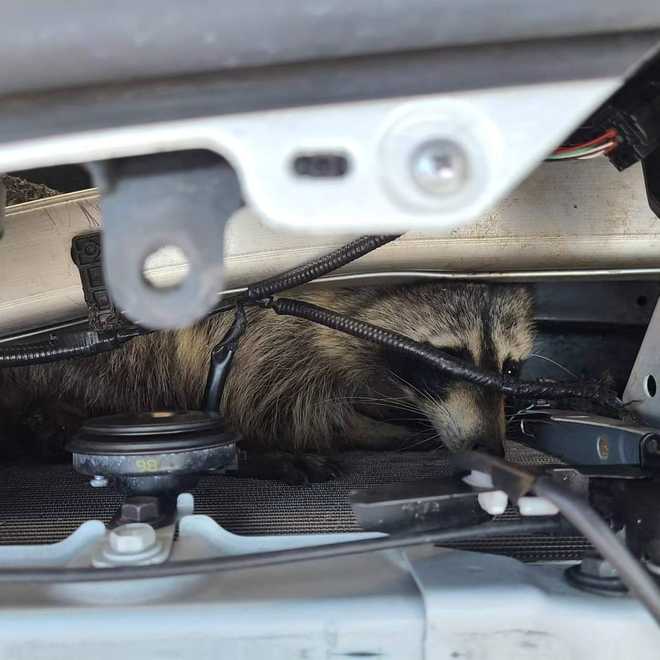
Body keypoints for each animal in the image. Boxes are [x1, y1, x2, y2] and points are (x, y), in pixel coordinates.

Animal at [0, 282, 534, 480]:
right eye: (446, 360)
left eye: (510, 369)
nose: (490, 447)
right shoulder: (261, 330)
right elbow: (268, 402)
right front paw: (363, 430)